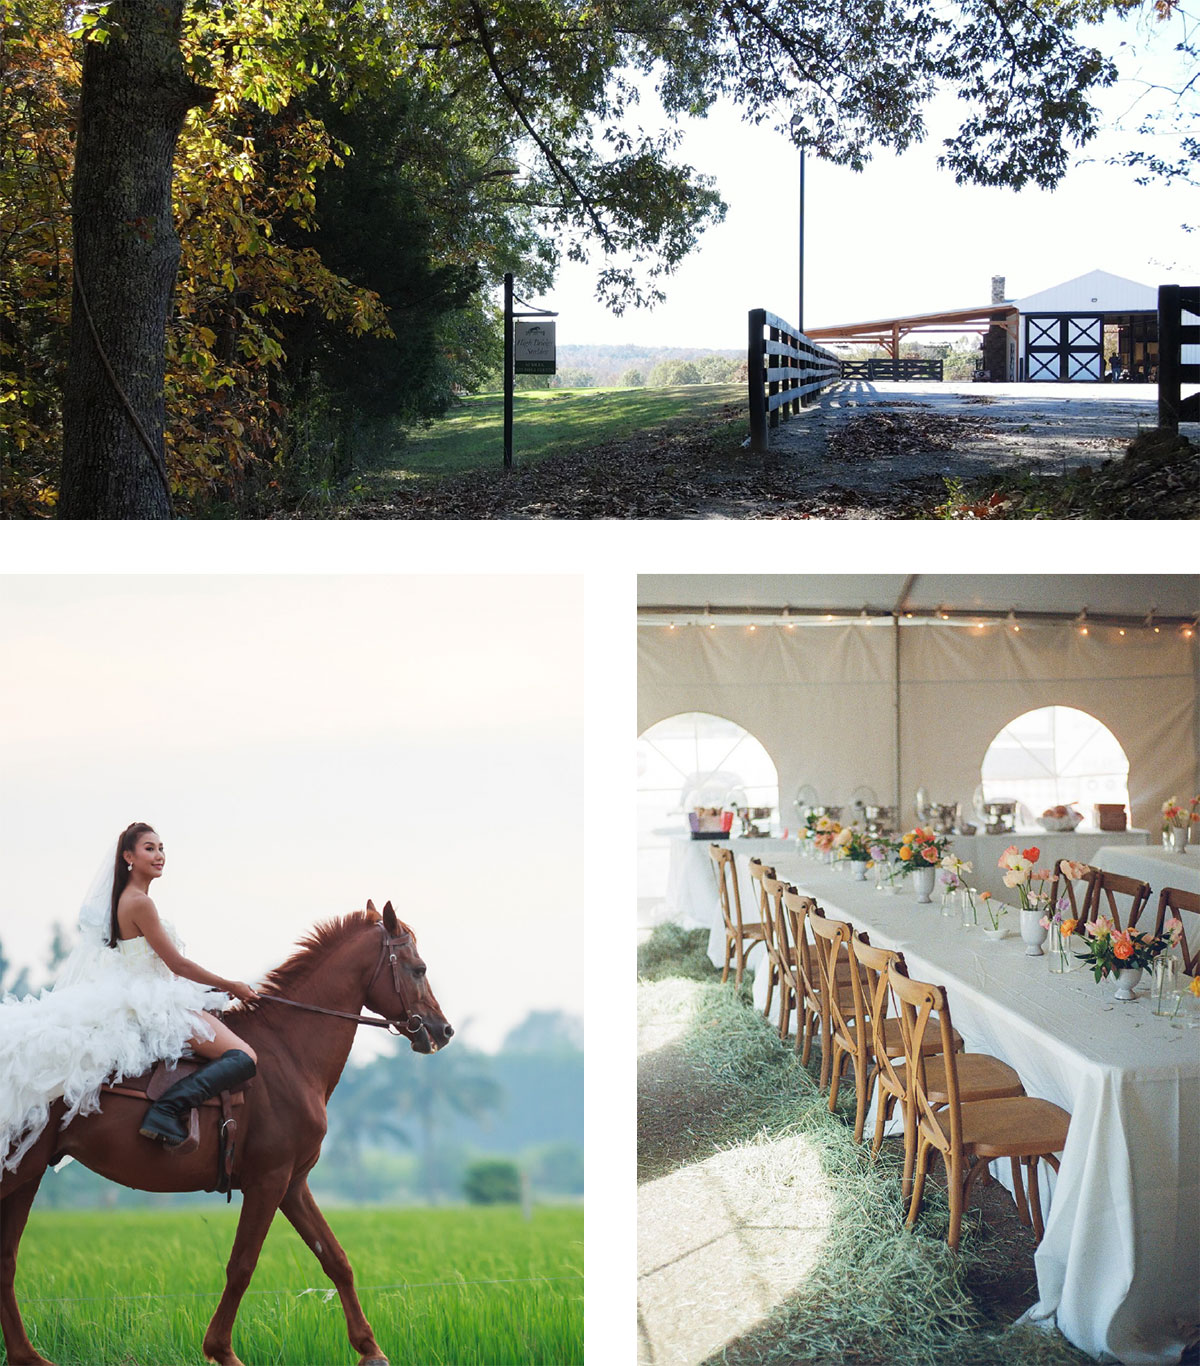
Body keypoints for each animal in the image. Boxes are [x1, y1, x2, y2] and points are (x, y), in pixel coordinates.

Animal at [1, 901, 451, 1360]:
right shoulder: (268, 1181)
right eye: (418, 968)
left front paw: (370, 1349)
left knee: (6, 1262)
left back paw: (27, 1356)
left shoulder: (293, 1184)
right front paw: (221, 1349)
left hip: (26, 1176)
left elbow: (336, 1260)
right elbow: (242, 1266)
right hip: (17, 1174)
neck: (288, 1049)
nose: (443, 1030)